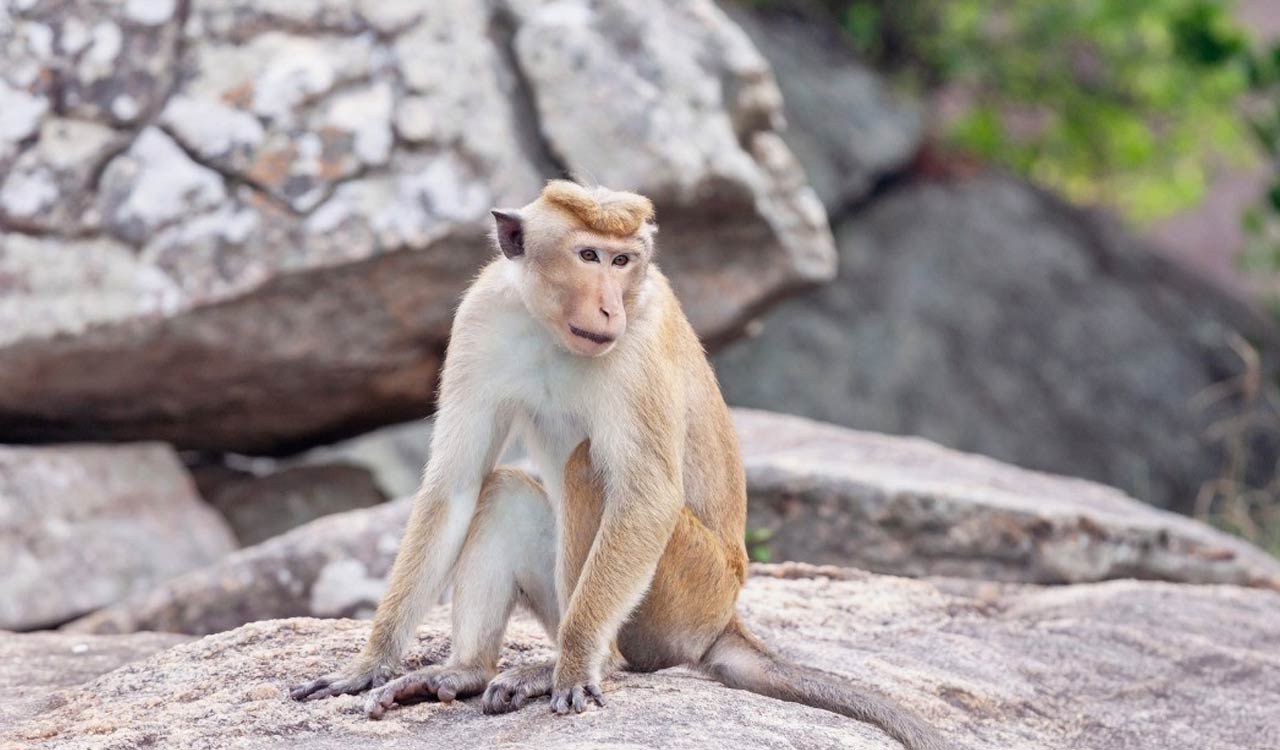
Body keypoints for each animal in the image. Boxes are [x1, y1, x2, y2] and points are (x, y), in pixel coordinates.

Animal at [290, 180, 945, 750]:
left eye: (623, 261)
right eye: (588, 255)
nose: (608, 308)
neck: (553, 330)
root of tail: (725, 619)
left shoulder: (640, 339)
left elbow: (647, 496)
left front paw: (578, 665)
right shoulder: (481, 317)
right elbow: (455, 484)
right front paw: (370, 664)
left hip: (686, 596)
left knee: (588, 469)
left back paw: (585, 663)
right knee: (504, 491)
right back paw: (468, 670)